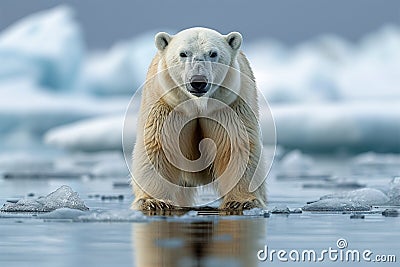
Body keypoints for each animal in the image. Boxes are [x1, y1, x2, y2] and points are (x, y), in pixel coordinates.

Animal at [131, 27, 268, 211]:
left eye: (213, 53)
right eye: (183, 54)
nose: (198, 82)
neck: (198, 103)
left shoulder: (230, 106)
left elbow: (239, 147)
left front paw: (241, 201)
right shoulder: (166, 105)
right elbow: (157, 146)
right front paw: (154, 201)